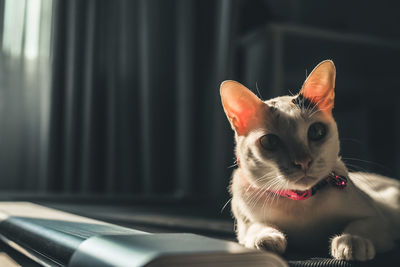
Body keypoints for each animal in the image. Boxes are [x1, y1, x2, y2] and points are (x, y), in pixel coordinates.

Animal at [220, 60, 400, 262]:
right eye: (270, 142)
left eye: (316, 131)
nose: (303, 162)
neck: (301, 202)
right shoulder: (245, 223)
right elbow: (256, 227)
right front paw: (266, 239)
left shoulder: (378, 218)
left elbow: (359, 225)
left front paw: (351, 241)